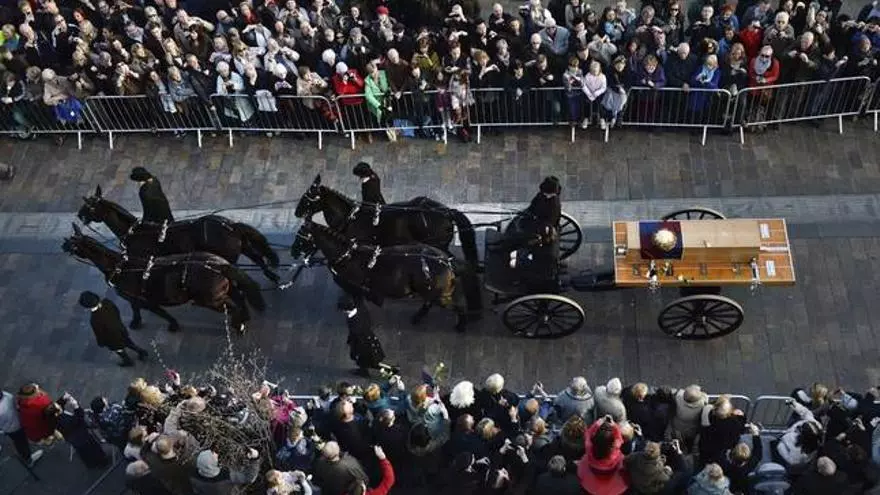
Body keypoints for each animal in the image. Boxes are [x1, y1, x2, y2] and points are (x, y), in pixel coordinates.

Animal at [62, 224, 266, 333]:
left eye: (72, 243)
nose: (63, 247)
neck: (122, 267)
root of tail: (218, 264)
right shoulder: (139, 299)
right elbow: (142, 309)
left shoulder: (140, 299)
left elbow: (155, 311)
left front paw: (170, 324)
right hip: (224, 289)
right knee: (239, 298)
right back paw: (244, 318)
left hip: (211, 300)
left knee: (231, 307)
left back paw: (238, 324)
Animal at [77, 185, 280, 283]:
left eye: (90, 206)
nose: (79, 215)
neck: (136, 232)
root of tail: (229, 225)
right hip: (242, 247)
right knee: (258, 258)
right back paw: (273, 277)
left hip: (229, 256)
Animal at [289, 220, 482, 332]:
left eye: (301, 237)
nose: (293, 252)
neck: (348, 255)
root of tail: (446, 260)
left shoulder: (353, 287)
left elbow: (357, 303)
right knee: (430, 303)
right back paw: (418, 317)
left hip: (439, 295)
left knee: (457, 305)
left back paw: (461, 325)